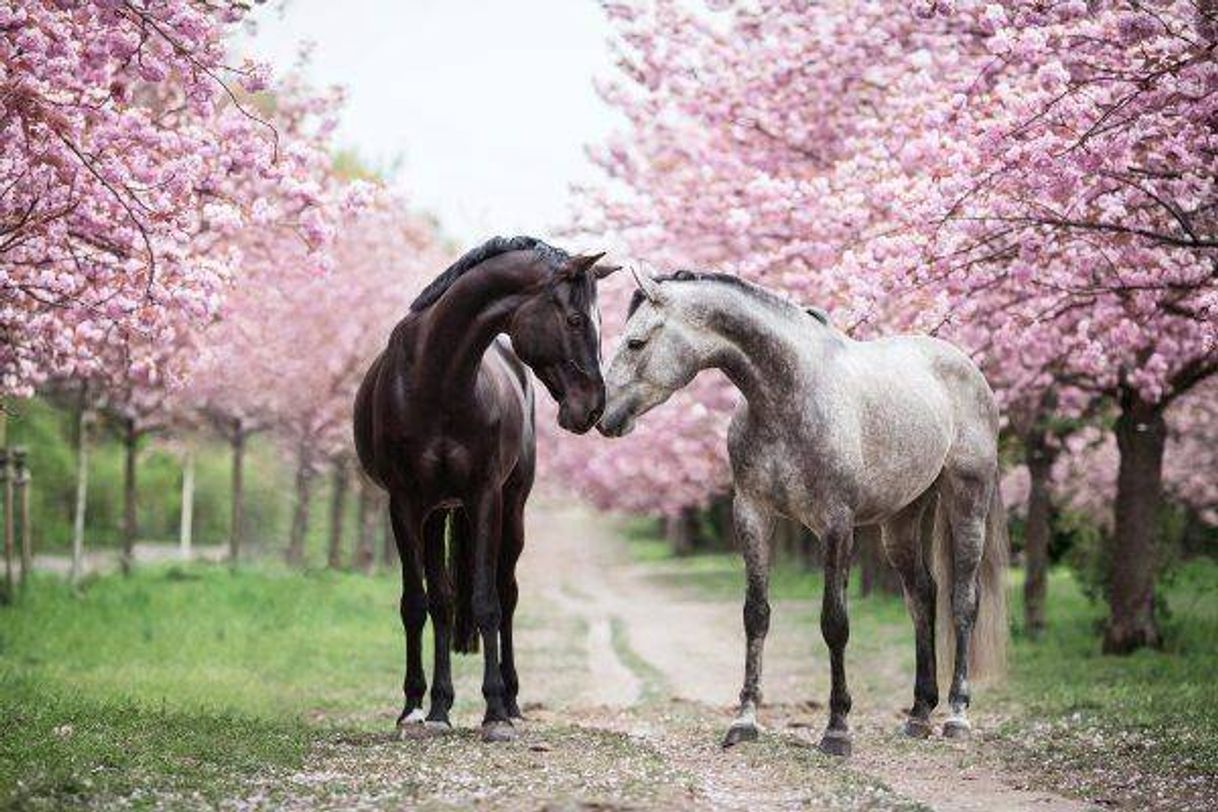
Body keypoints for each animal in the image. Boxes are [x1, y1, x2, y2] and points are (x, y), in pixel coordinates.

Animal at [355, 234, 613, 745]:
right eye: (575, 319)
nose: (593, 408)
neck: (435, 378)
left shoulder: (486, 497)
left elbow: (487, 603)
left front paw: (494, 711)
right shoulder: (405, 503)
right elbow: (418, 604)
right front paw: (414, 708)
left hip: (512, 511)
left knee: (507, 595)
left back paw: (510, 700)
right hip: (436, 513)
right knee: (441, 603)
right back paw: (439, 706)